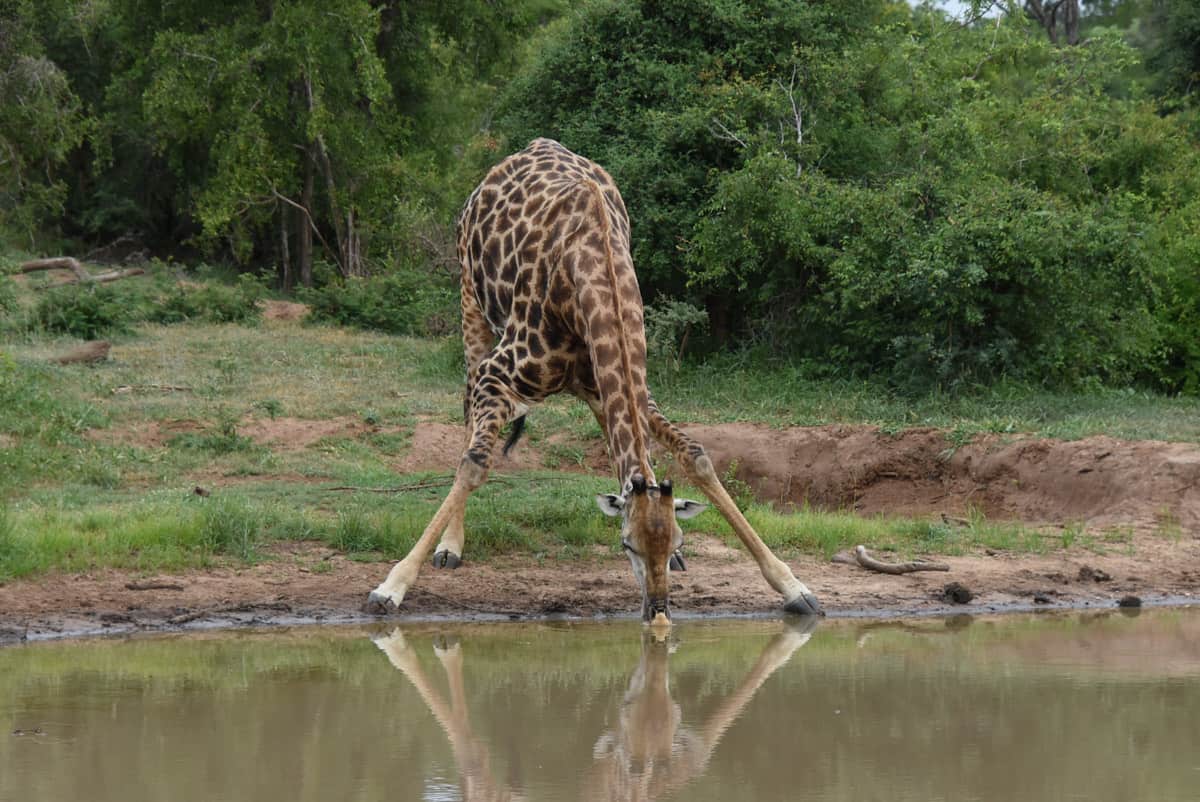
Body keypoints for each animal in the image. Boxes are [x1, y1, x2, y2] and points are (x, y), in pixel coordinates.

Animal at [362, 138, 825, 619]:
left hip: (592, 384)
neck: (591, 272)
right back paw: (450, 547)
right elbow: (474, 464)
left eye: (673, 541)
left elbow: (696, 457)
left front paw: (793, 586)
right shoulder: (499, 373)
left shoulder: (632, 388)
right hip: (471, 304)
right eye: (627, 546)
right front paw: (391, 586)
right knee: (468, 414)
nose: (657, 608)